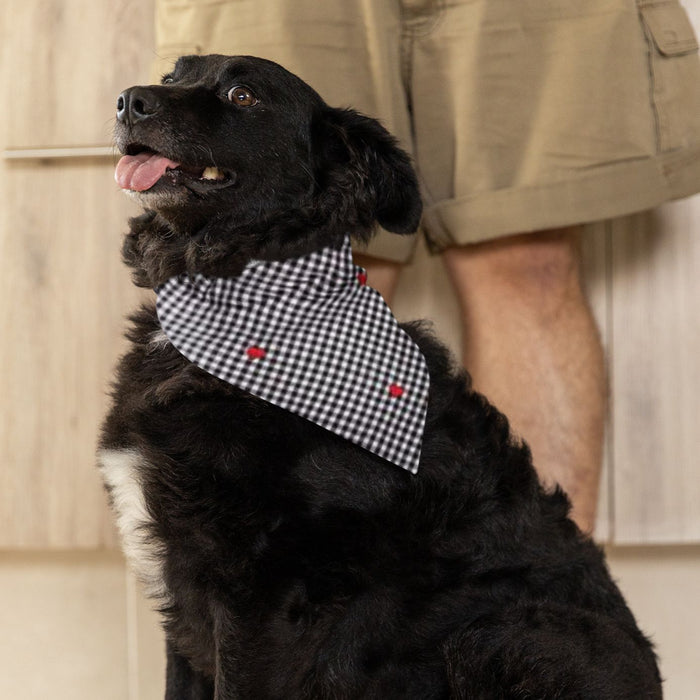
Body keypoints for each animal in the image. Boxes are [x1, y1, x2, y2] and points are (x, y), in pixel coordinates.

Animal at [98, 56, 660, 700]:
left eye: (243, 95)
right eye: (173, 74)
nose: (128, 101)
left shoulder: (260, 596)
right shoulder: (186, 591)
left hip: (498, 633)